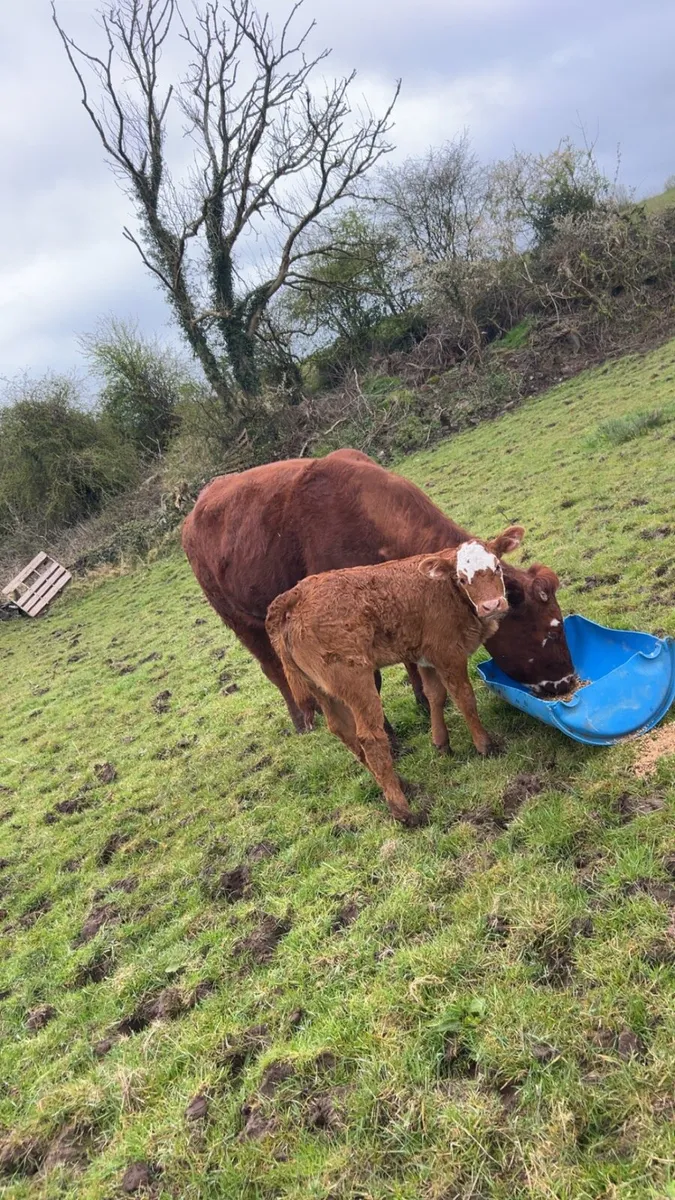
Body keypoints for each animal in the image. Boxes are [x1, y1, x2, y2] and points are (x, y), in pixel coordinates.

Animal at [181, 449, 575, 732]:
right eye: (552, 632)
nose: (568, 682)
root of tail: (201, 502)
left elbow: (411, 658)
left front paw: (424, 701)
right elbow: (369, 682)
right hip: (240, 620)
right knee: (273, 669)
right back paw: (302, 721)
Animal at [266, 535, 516, 825]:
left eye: (497, 567)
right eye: (462, 579)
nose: (492, 606)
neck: (447, 591)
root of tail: (293, 596)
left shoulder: (425, 656)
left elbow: (435, 695)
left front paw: (441, 743)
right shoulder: (447, 653)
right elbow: (464, 698)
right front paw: (485, 745)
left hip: (321, 688)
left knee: (342, 730)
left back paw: (400, 784)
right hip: (356, 679)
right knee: (370, 738)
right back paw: (403, 810)